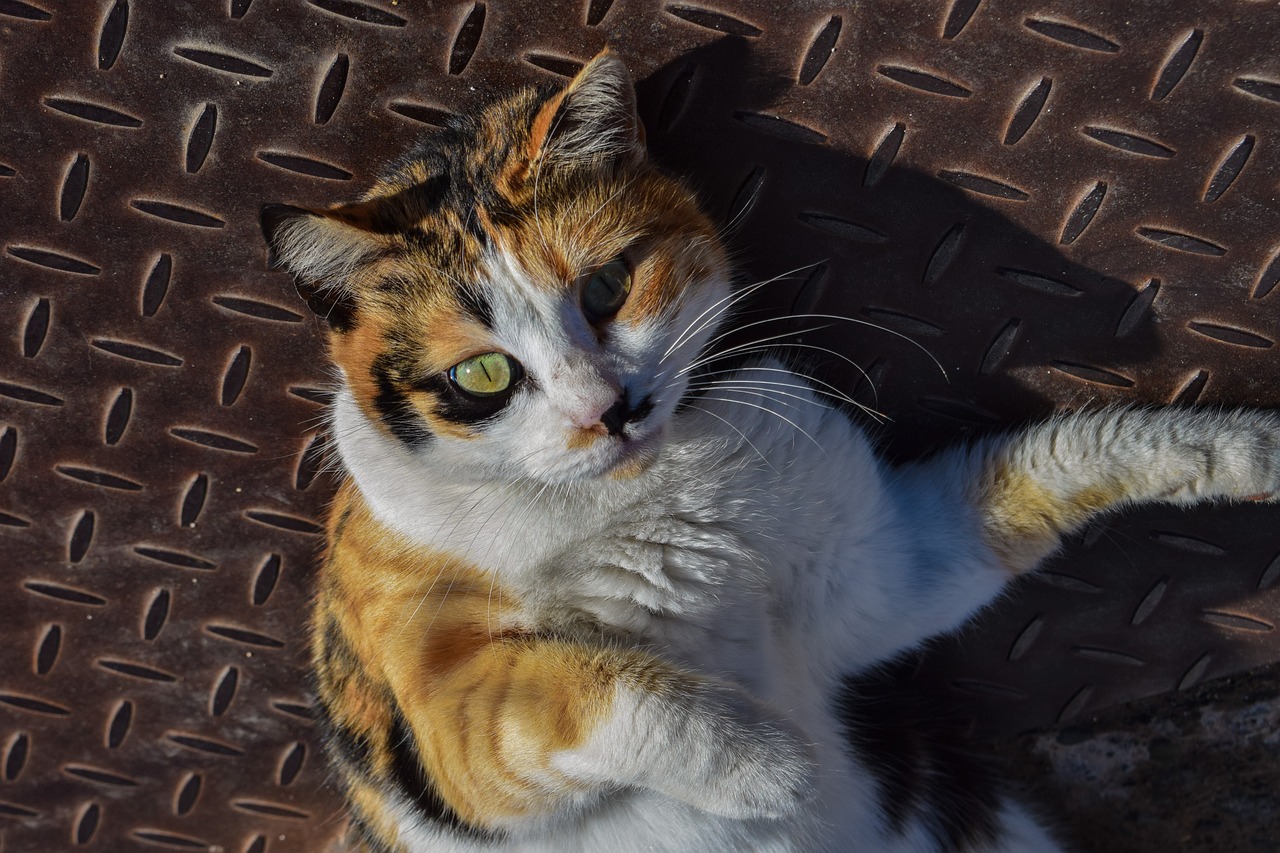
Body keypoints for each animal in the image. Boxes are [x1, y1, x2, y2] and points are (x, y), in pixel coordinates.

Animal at [262, 53, 1280, 850]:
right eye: (482, 375)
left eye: (607, 286)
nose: (610, 410)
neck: (653, 495)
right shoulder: (442, 721)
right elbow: (571, 683)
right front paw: (770, 768)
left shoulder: (883, 575)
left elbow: (1059, 457)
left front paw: (1243, 449)